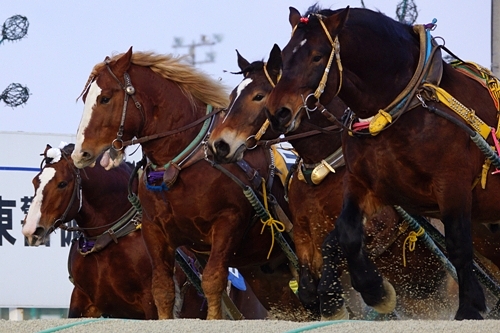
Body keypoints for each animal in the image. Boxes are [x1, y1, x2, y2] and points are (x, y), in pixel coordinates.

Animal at [70, 48, 304, 320]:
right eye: (86, 99)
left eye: (105, 98)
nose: (80, 153)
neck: (181, 164)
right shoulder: (154, 230)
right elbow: (162, 289)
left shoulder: (227, 223)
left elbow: (212, 281)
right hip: (266, 275)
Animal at [207, 45, 458, 318]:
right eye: (233, 95)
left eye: (259, 96)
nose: (218, 145)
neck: (326, 168)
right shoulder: (304, 234)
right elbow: (308, 286)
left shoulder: (377, 227)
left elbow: (336, 245)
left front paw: (366, 293)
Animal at [264, 3, 500, 318]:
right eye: (286, 55)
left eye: (316, 55)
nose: (277, 111)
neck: (399, 113)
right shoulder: (366, 186)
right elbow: (347, 233)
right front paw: (375, 291)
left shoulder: (453, 185)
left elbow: (459, 247)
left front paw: (469, 307)